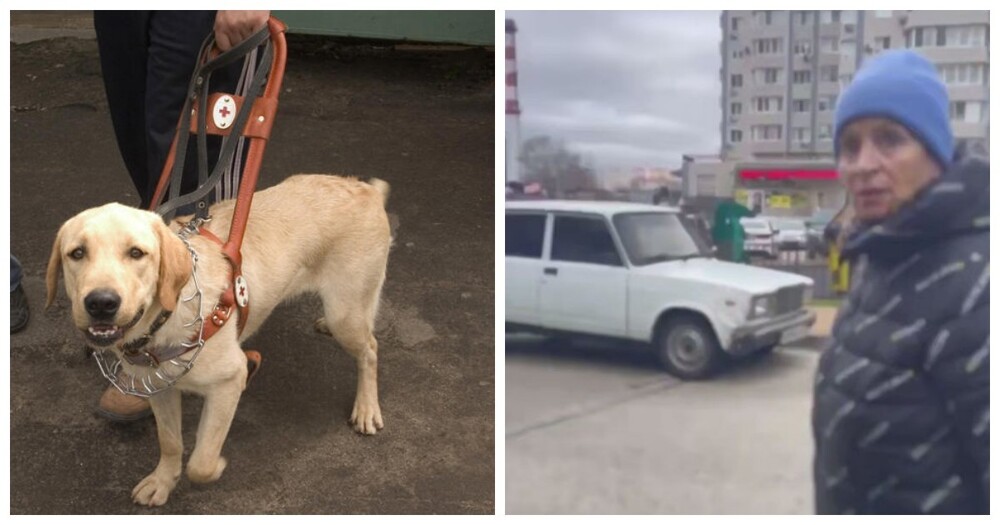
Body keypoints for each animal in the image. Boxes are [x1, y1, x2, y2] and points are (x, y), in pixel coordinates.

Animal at [47, 175, 390, 504]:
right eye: (77, 253)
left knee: (371, 350)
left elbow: (201, 462)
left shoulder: (228, 383)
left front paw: (215, 467)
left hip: (345, 314)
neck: (169, 319)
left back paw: (366, 408)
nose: (101, 303)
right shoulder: (158, 389)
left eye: (136, 253)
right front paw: (163, 482)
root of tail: (367, 191)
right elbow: (170, 443)